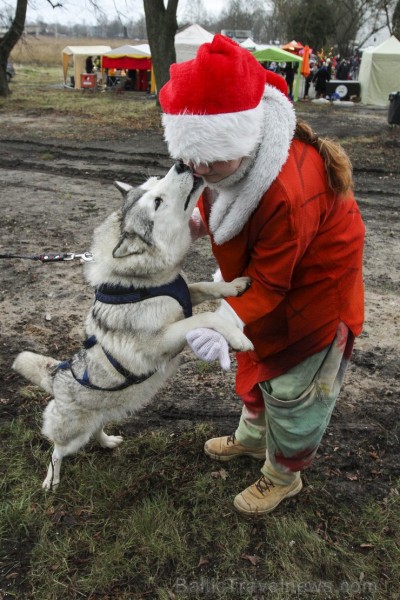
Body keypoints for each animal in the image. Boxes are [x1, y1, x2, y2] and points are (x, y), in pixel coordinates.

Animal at [14, 162, 253, 490]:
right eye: (157, 202)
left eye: (156, 182)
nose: (181, 164)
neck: (142, 281)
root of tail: (58, 373)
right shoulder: (159, 341)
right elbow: (207, 318)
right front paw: (239, 339)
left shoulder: (185, 294)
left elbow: (206, 287)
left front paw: (235, 285)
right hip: (70, 434)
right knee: (57, 450)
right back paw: (52, 480)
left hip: (102, 412)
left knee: (96, 429)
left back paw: (107, 442)